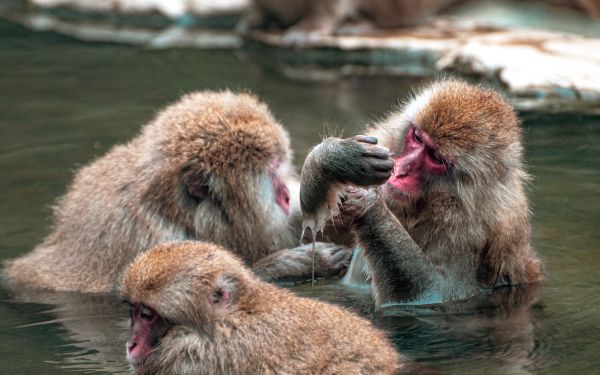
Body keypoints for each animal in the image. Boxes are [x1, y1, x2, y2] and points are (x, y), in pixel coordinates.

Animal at [3, 91, 352, 294]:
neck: (174, 213)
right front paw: (293, 263)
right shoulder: (149, 241)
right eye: (273, 177)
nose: (287, 195)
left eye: (282, 167)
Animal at [300, 79, 544, 308]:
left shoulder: (472, 234)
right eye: (417, 137)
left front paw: (369, 205)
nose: (399, 171)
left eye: (436, 158)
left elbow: (432, 294)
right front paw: (334, 158)